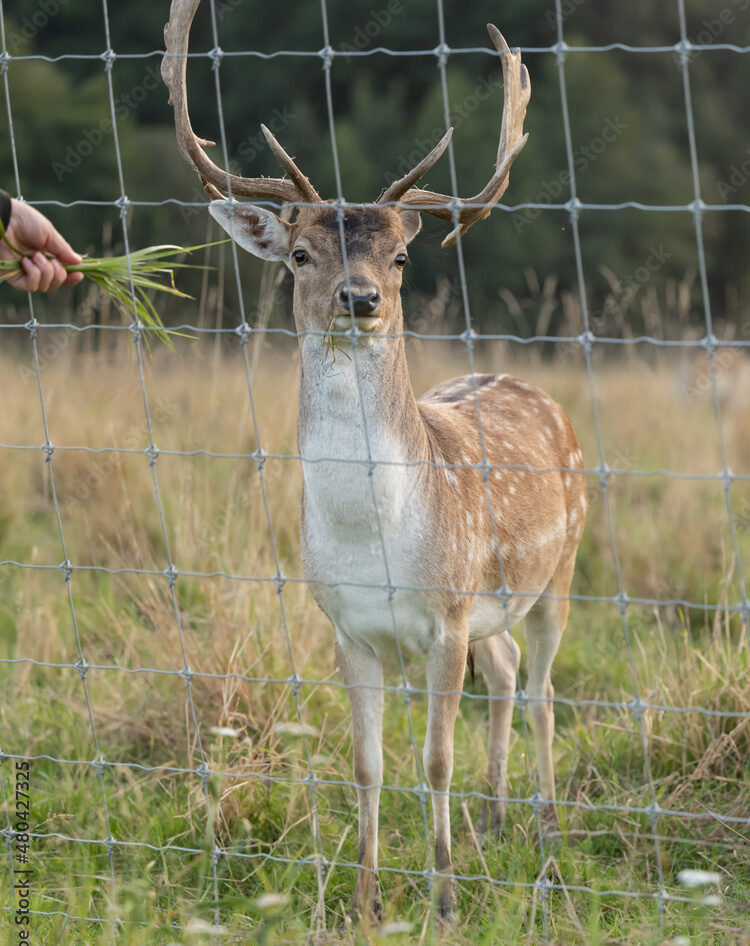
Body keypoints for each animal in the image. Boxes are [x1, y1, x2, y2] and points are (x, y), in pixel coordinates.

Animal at [162, 0, 588, 923]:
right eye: (299, 255)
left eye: (399, 257)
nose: (359, 299)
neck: (378, 540)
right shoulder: (347, 626)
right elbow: (366, 767)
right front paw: (362, 902)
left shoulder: (447, 616)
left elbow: (433, 761)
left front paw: (446, 904)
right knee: (507, 672)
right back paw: (494, 820)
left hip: (562, 566)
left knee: (542, 689)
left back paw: (545, 836)